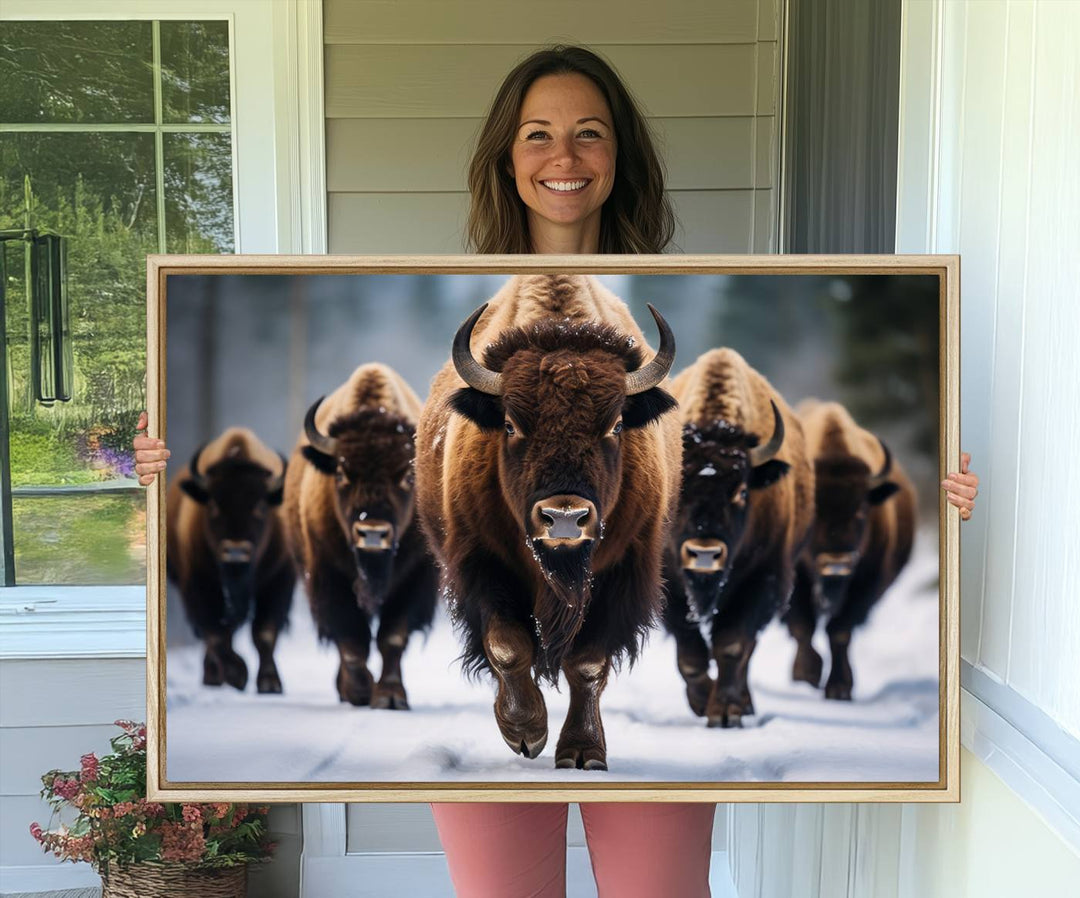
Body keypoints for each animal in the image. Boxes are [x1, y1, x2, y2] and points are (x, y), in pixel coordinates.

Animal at [165, 427, 293, 695]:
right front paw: (237, 675)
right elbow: (215, 633)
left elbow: (264, 632)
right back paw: (214, 676)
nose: (235, 551)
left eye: (260, 506)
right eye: (214, 505)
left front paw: (270, 683)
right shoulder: (198, 584)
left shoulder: (279, 579)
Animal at [287, 363, 442, 708]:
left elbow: (392, 637)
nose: (372, 532)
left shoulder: (414, 578)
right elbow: (352, 639)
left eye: (408, 476)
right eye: (341, 473)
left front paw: (390, 697)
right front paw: (359, 691)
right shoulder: (329, 576)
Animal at [416, 275, 678, 773]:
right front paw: (525, 732)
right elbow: (507, 645)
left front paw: (583, 752)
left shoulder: (621, 573)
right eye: (511, 424)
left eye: (616, 425)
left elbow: (588, 664)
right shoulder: (482, 564)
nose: (565, 518)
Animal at [660, 347, 812, 726]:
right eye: (679, 487)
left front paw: (726, 712)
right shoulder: (671, 586)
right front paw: (702, 702)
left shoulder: (762, 579)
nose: (704, 553)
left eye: (742, 491)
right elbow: (691, 654)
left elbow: (732, 646)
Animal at [786, 399, 920, 700]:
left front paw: (839, 688)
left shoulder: (864, 584)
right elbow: (803, 626)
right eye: (814, 512)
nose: (837, 563)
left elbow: (839, 632)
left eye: (861, 510)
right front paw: (807, 675)